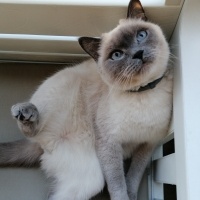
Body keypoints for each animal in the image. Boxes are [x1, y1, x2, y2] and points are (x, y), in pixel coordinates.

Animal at [0, 0, 173, 199]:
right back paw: (26, 113)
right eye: (117, 55)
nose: (138, 53)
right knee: (32, 130)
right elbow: (118, 185)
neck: (142, 94)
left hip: (86, 178)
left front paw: (132, 195)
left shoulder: (147, 145)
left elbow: (132, 178)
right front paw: (124, 196)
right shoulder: (109, 144)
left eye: (141, 35)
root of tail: (43, 144)